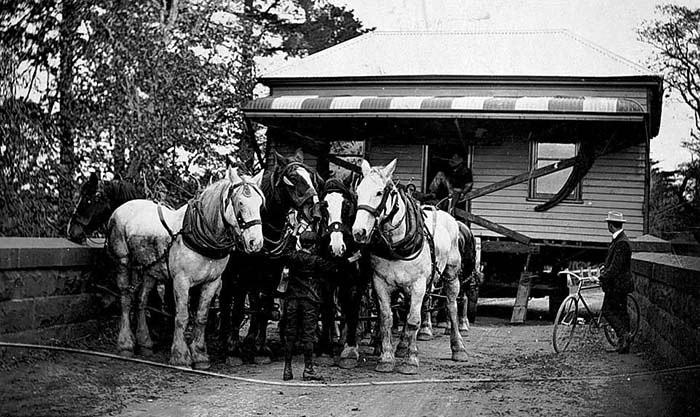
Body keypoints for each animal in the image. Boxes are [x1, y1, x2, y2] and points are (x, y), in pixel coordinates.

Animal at [108, 165, 264, 368]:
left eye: (260, 204)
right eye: (240, 203)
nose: (256, 242)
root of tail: (122, 208)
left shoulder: (212, 282)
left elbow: (201, 317)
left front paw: (200, 355)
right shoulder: (181, 281)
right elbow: (182, 316)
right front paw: (180, 356)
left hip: (150, 269)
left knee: (141, 300)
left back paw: (145, 343)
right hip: (123, 260)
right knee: (126, 298)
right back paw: (125, 344)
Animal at [219, 150, 322, 364]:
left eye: (311, 176)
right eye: (293, 178)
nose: (315, 211)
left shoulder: (270, 277)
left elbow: (264, 308)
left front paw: (260, 347)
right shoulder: (242, 277)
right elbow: (238, 309)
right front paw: (233, 348)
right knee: (226, 302)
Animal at [352, 159, 468, 374]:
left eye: (379, 192)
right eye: (358, 192)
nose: (359, 232)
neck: (397, 245)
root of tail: (445, 213)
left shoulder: (418, 285)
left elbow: (414, 320)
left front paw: (411, 361)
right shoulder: (380, 283)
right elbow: (387, 319)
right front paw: (386, 358)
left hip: (450, 275)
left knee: (451, 307)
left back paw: (458, 348)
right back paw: (403, 346)